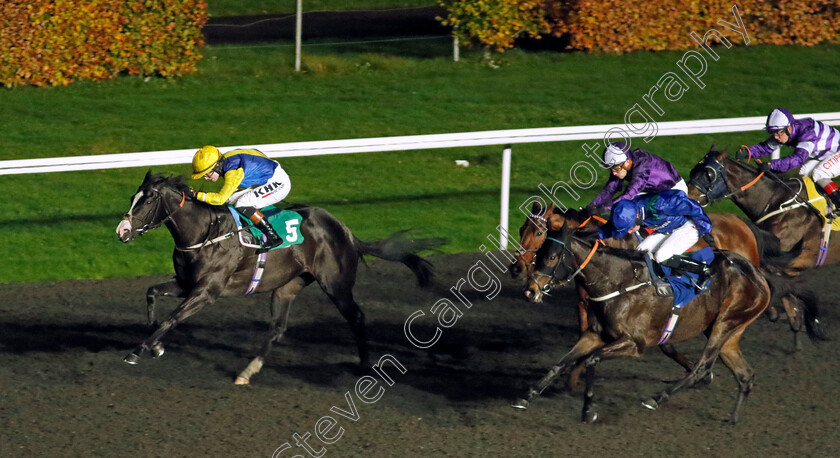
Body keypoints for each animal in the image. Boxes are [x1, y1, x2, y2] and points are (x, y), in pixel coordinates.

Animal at [508, 224, 772, 424]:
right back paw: (733, 419)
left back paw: (656, 398)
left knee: (702, 368)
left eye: (552, 257)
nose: (530, 291)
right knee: (744, 374)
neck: (616, 282)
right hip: (728, 332)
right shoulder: (594, 334)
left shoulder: (634, 343)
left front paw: (587, 410)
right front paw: (526, 397)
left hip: (724, 324)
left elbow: (591, 360)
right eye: (539, 255)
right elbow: (560, 364)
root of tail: (756, 274)